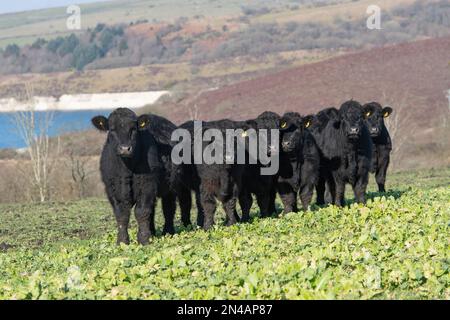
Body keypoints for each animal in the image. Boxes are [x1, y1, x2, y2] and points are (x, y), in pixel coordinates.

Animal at [91, 107, 176, 245]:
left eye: (134, 129)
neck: (127, 169)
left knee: (168, 208)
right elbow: (122, 214)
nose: (125, 149)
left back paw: (168, 232)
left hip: (170, 186)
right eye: (112, 129)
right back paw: (152, 232)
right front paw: (122, 241)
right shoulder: (113, 188)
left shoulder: (147, 184)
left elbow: (141, 211)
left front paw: (144, 239)